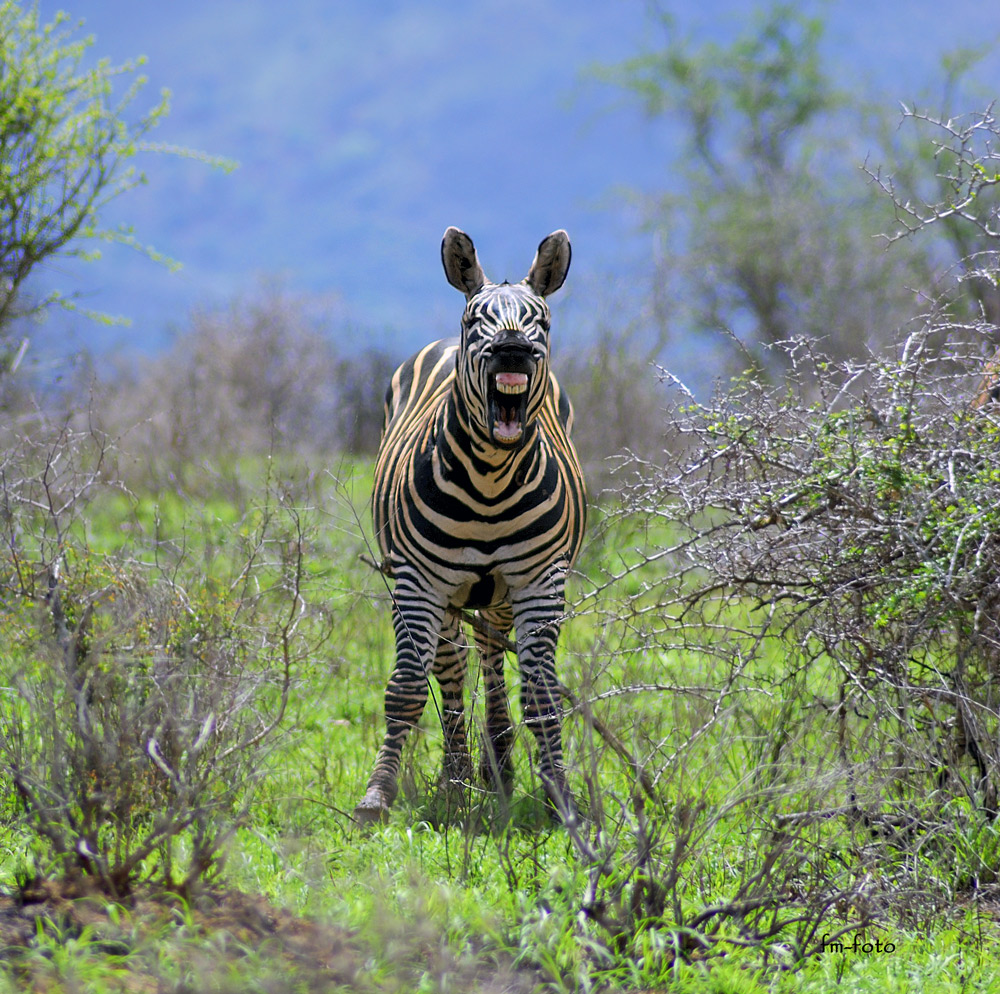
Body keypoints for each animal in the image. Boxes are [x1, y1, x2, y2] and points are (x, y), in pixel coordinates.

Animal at [354, 229, 584, 824]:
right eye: (474, 320)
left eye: (542, 321)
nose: (512, 350)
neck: (490, 478)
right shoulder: (416, 582)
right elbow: (406, 689)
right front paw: (377, 795)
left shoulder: (541, 582)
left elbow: (542, 697)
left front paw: (560, 797)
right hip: (441, 590)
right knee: (453, 664)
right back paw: (456, 779)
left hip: (496, 592)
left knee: (489, 652)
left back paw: (496, 767)